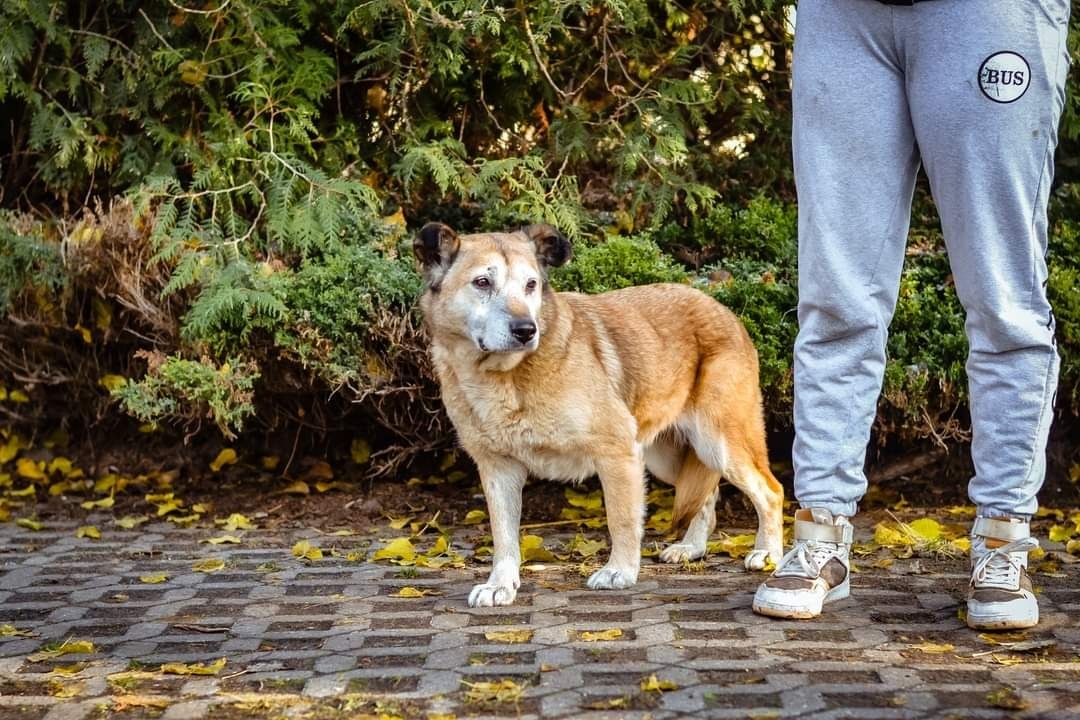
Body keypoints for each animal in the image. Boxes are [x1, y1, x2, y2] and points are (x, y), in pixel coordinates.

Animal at [414, 222, 786, 604]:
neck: (505, 378)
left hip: (718, 442)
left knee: (771, 492)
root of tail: (720, 306)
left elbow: (620, 520)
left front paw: (619, 571)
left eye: (531, 284)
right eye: (482, 282)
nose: (526, 330)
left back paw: (768, 554)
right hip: (668, 456)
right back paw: (692, 548)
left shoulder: (617, 453)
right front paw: (499, 585)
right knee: (705, 495)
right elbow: (503, 537)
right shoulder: (498, 469)